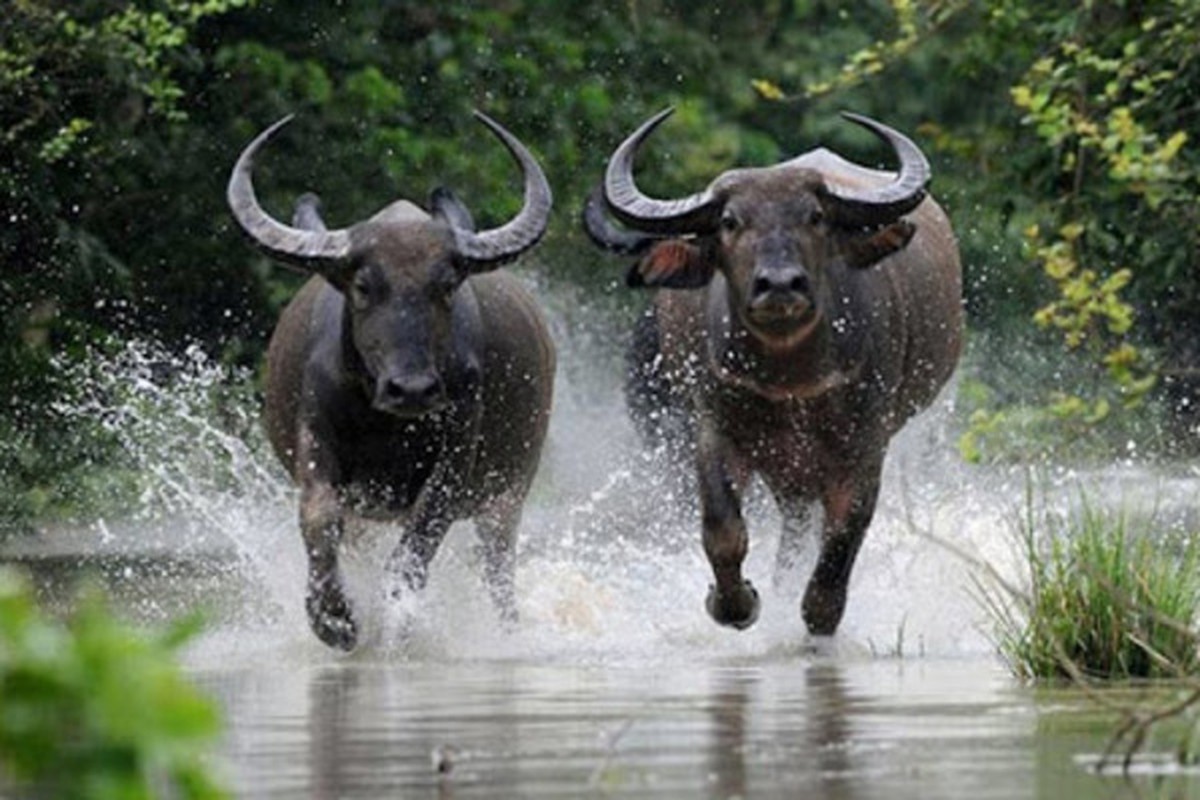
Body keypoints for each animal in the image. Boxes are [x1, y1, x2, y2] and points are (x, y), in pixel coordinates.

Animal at [226, 112, 554, 652]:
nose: (412, 390)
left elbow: (417, 543)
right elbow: (319, 515)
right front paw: (334, 619)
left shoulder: (456, 458)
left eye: (447, 285)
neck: (385, 423)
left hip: (509, 489)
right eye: (363, 287)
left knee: (497, 565)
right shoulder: (317, 440)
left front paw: (394, 623)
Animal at [585, 107, 960, 638]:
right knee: (793, 528)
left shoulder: (867, 441)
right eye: (729, 221)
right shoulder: (712, 429)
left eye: (816, 217)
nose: (780, 285)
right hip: (784, 467)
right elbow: (722, 529)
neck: (790, 377)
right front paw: (734, 603)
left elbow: (844, 533)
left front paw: (819, 614)